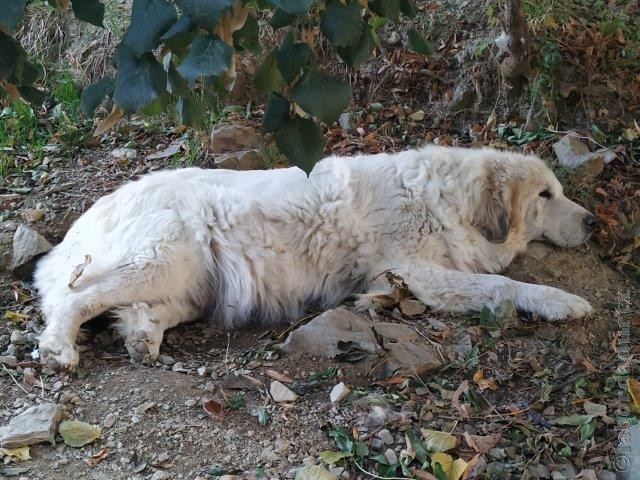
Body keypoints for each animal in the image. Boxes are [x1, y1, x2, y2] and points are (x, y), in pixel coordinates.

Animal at [33, 145, 596, 368]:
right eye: (545, 195)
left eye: (558, 191)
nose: (593, 221)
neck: (447, 198)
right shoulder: (418, 270)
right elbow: (503, 284)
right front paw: (560, 300)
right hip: (166, 254)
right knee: (76, 298)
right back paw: (60, 347)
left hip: (195, 283)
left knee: (136, 311)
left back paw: (143, 338)